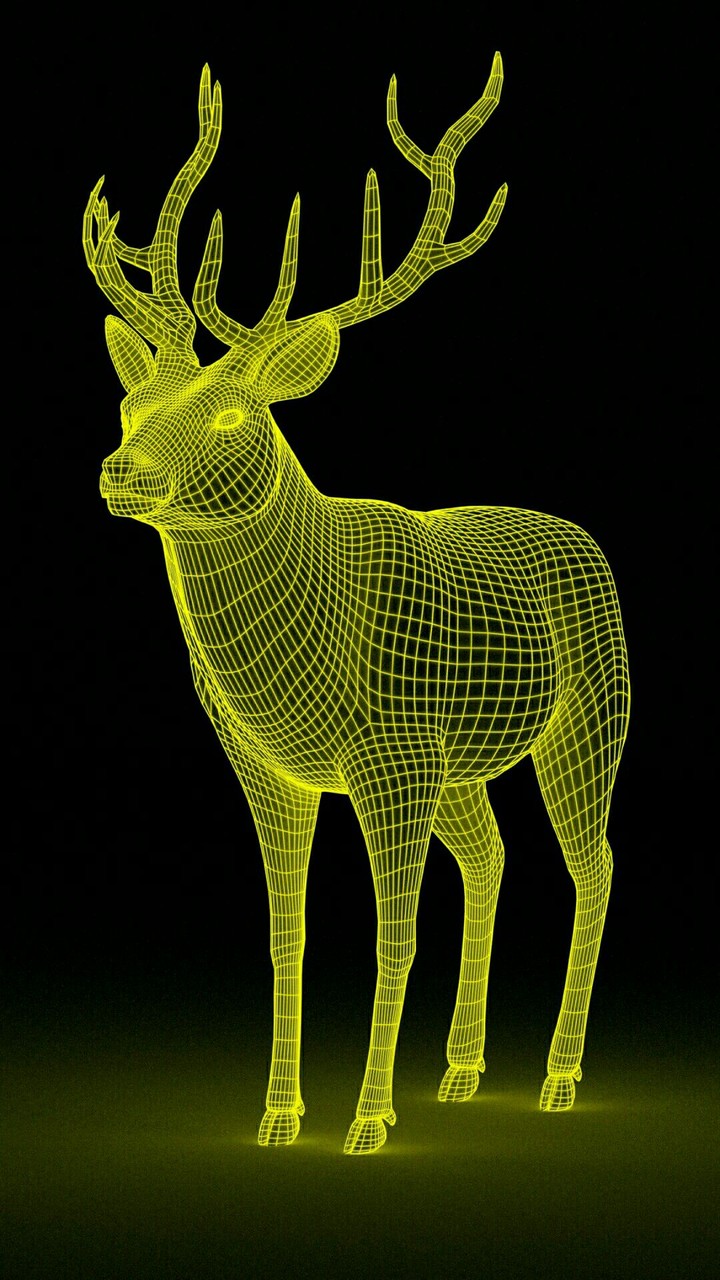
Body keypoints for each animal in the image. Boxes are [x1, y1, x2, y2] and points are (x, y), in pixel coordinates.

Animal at [83, 53, 629, 1155]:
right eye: (130, 403)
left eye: (233, 413)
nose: (123, 472)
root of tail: (586, 542)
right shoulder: (266, 764)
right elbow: (286, 931)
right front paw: (279, 1111)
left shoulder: (392, 753)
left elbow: (393, 932)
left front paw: (367, 1117)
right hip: (461, 764)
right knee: (493, 856)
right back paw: (461, 1068)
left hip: (586, 718)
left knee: (593, 862)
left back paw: (556, 1075)